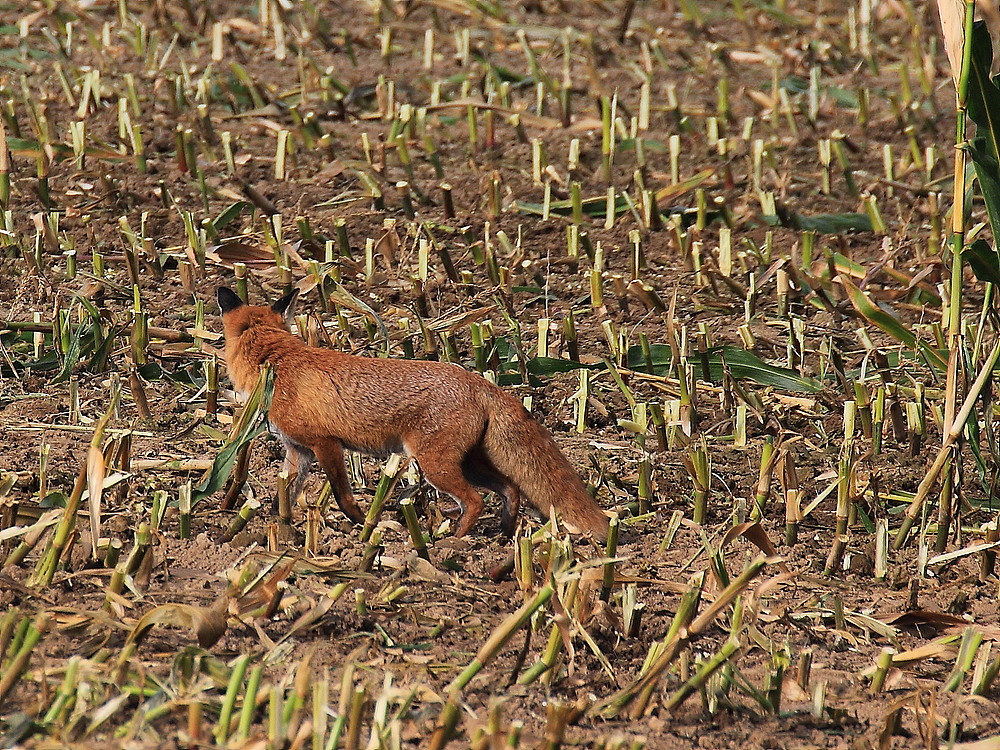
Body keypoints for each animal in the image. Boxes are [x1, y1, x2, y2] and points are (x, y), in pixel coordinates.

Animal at [219, 288, 608, 540]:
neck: (277, 363)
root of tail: (477, 380)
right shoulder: (297, 451)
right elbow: (284, 493)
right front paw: (275, 526)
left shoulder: (326, 444)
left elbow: (343, 497)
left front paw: (364, 528)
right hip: (467, 463)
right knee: (510, 489)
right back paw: (503, 535)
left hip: (435, 465)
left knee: (475, 501)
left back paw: (452, 544)